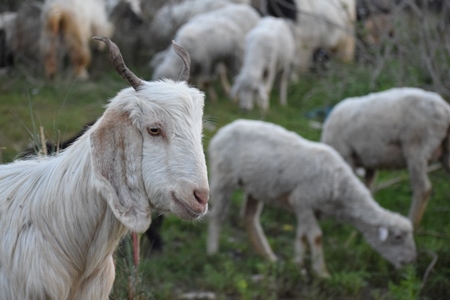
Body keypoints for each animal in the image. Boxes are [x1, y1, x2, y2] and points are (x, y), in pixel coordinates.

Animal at [209, 118, 416, 278]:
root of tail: (225, 129)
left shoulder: (308, 208)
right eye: (398, 237)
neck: (340, 186)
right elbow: (316, 236)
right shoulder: (303, 201)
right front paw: (321, 272)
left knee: (250, 217)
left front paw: (298, 265)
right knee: (218, 215)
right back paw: (213, 252)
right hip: (223, 176)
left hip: (255, 185)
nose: (409, 262)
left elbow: (302, 235)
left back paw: (268, 256)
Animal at [320, 86, 450, 227]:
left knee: (422, 188)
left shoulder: (346, 156)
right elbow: (366, 190)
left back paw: (412, 222)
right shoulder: (369, 164)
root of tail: (445, 109)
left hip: (417, 145)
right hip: (445, 150)